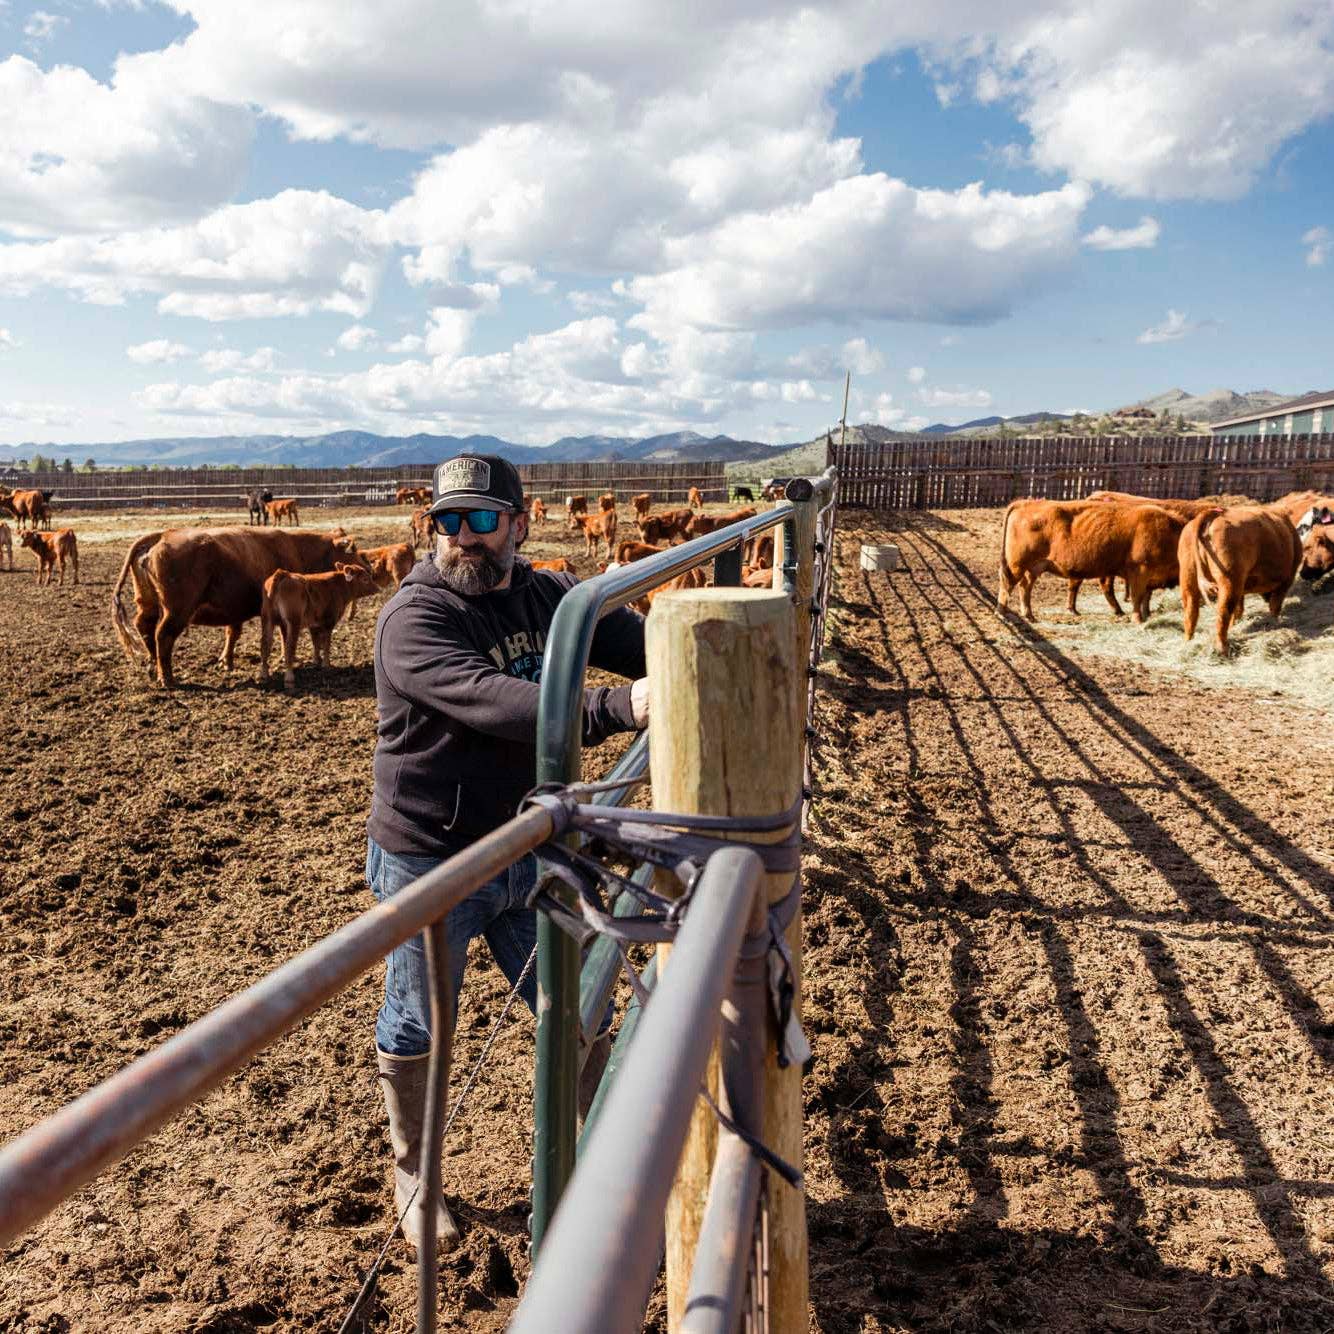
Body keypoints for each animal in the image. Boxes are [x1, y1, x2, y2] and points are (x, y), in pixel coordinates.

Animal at [111, 526, 364, 688]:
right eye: (354, 552)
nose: (368, 569)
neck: (296, 547)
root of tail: (163, 535)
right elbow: (283, 638)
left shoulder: (235, 611)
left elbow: (232, 633)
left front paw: (226, 661)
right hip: (177, 610)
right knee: (162, 635)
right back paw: (168, 677)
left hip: (148, 604)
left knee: (145, 628)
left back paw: (153, 667)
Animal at [998, 499, 1186, 623]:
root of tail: (1025, 503)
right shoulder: (1139, 572)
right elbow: (1137, 596)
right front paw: (1138, 619)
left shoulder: (1149, 577)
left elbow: (1146, 597)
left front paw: (1147, 616)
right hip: (1017, 566)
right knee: (1007, 584)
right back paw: (1002, 613)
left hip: (1034, 567)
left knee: (1025, 587)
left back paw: (1029, 615)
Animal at [1179, 506, 1302, 653]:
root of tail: (1215, 514)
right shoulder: (1286, 580)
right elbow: (1275, 605)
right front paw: (1275, 622)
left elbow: (1239, 609)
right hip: (1229, 582)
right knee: (1223, 612)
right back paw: (1222, 647)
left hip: (1189, 579)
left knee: (1190, 613)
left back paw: (1188, 642)